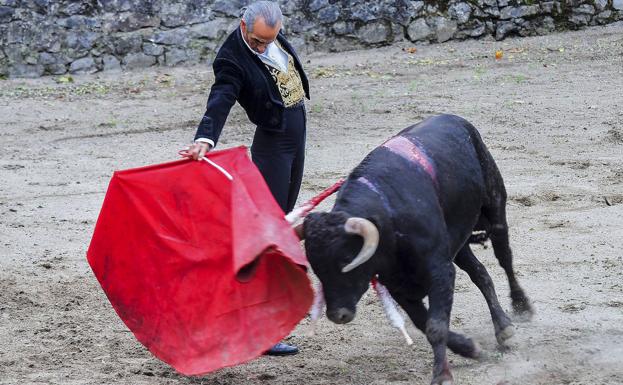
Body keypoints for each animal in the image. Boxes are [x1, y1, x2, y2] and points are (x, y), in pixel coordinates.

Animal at [300, 115, 532, 384]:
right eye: (316, 268)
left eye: (348, 259)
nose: (338, 314)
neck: (389, 219)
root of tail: (456, 119)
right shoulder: (399, 285)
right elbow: (425, 323)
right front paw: (469, 349)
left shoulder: (440, 271)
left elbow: (435, 325)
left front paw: (442, 375)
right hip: (457, 243)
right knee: (480, 273)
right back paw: (502, 326)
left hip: (495, 209)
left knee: (505, 258)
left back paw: (520, 307)